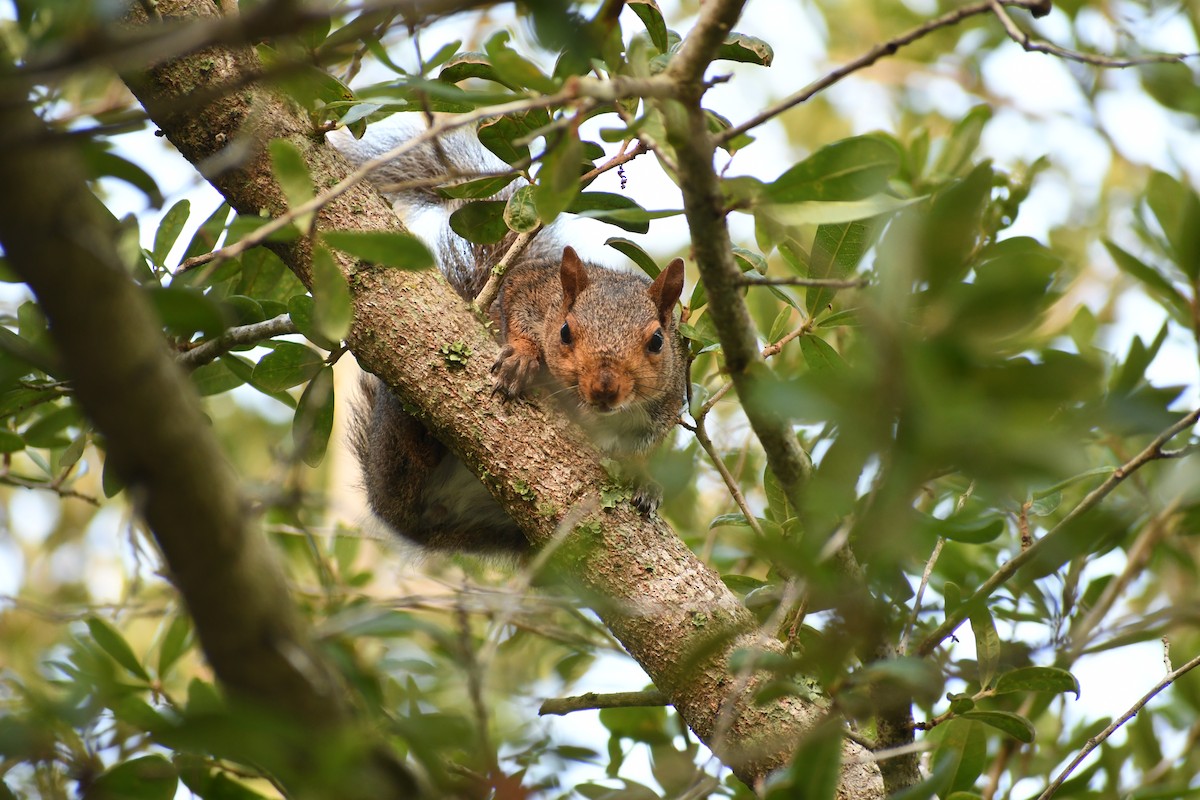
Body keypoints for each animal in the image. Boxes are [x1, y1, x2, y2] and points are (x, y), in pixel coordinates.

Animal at [331, 123, 687, 555]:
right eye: (565, 332)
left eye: (657, 342)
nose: (605, 389)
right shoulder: (533, 284)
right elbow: (515, 303)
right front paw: (522, 357)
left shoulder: (667, 400)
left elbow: (647, 443)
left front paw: (643, 480)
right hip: (397, 442)